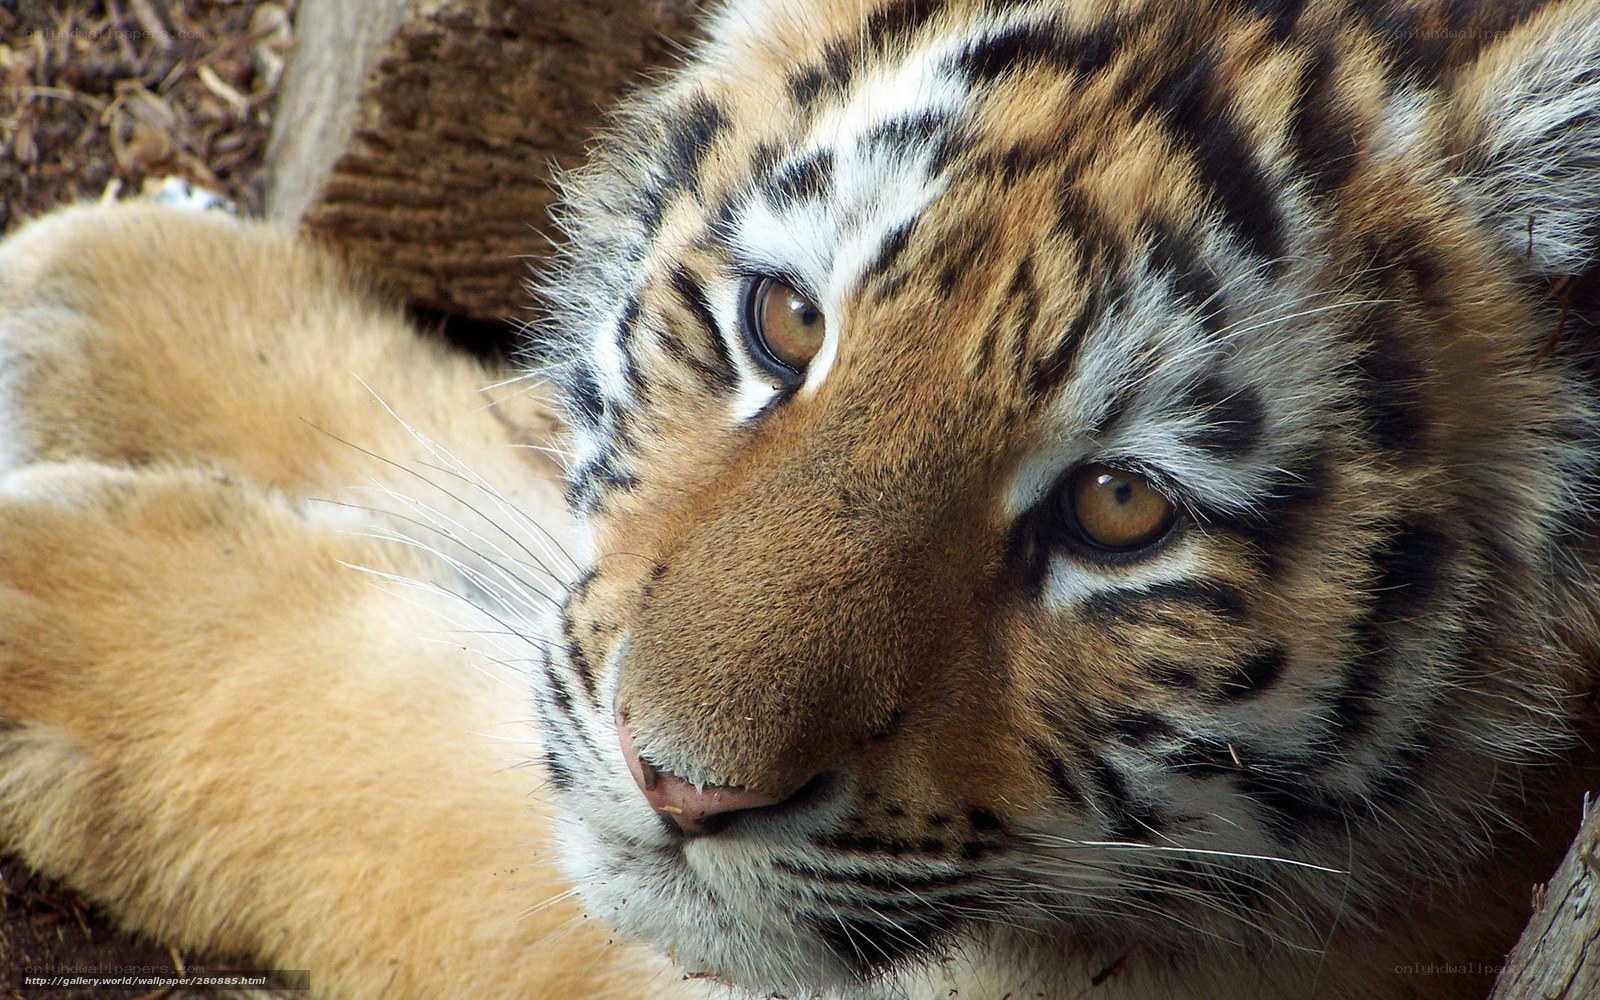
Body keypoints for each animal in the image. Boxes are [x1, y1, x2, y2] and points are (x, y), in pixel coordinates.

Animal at [3, 0, 1600, 998]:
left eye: (1120, 510)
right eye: (781, 322)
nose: (679, 785)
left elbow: (395, 764)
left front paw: (59, 605)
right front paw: (110, 307)